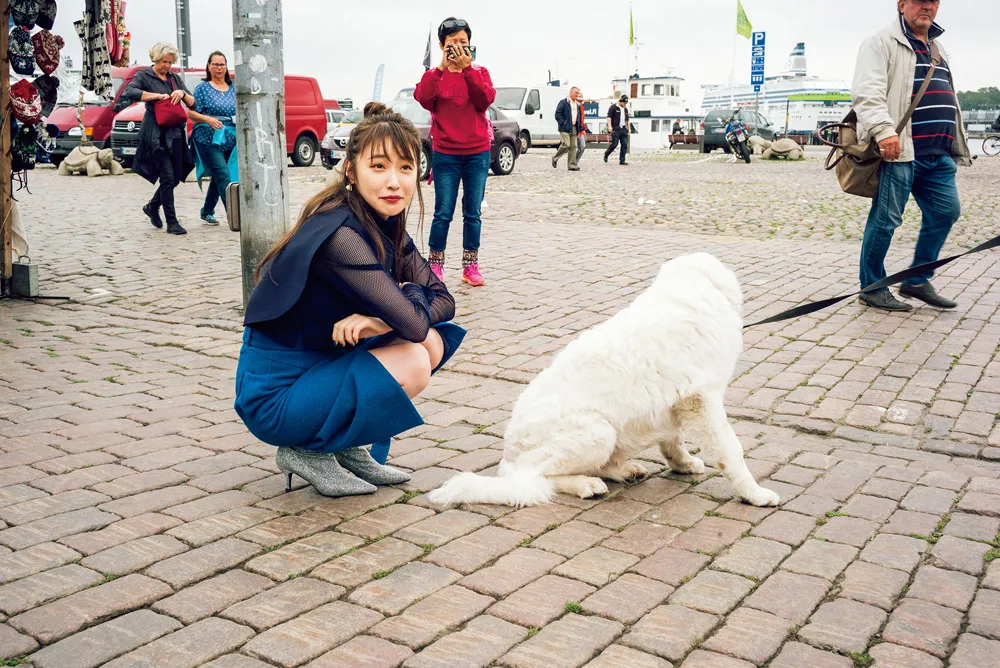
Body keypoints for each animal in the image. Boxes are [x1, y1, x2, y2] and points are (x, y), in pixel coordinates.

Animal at [430, 253, 780, 508]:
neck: (690, 291)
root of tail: (508, 457)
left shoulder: (677, 401)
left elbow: (674, 440)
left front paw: (683, 464)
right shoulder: (702, 400)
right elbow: (731, 452)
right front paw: (755, 494)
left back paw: (625, 470)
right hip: (598, 432)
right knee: (534, 480)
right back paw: (585, 484)